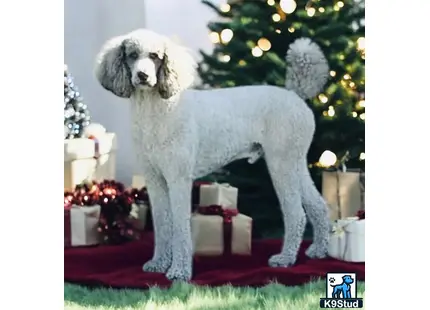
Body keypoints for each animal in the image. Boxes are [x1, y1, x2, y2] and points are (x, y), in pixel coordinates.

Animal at [94, 28, 330, 280]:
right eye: (132, 55)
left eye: (156, 56)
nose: (143, 76)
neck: (159, 112)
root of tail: (296, 95)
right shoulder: (155, 179)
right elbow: (163, 224)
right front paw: (158, 263)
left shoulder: (178, 178)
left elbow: (180, 226)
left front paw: (179, 271)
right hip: (294, 162)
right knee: (318, 205)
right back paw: (318, 250)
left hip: (281, 163)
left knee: (296, 214)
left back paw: (285, 259)